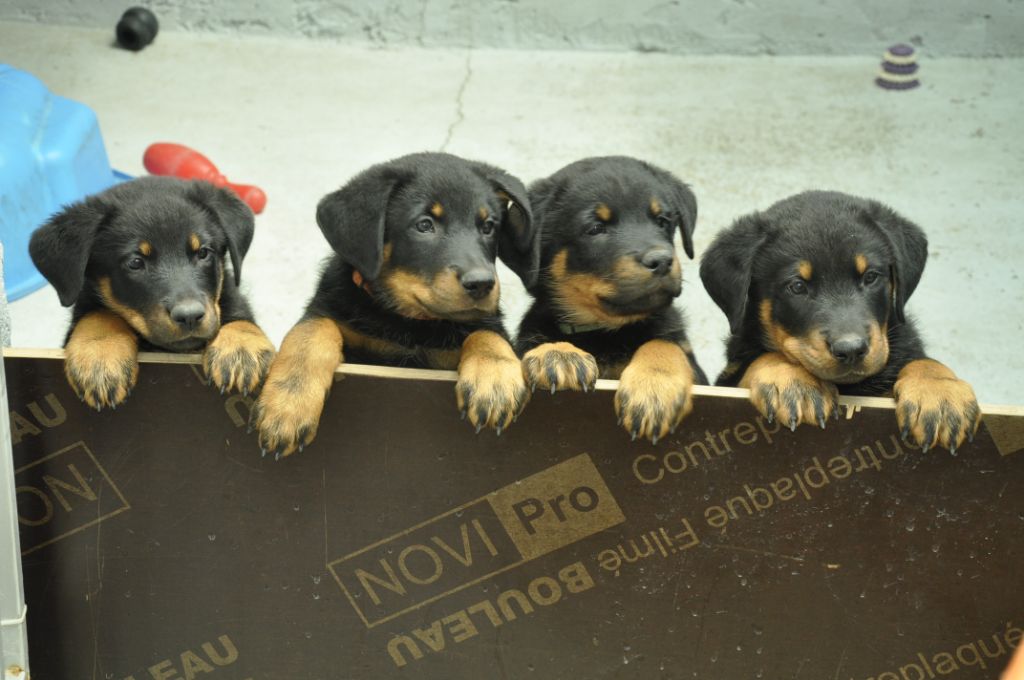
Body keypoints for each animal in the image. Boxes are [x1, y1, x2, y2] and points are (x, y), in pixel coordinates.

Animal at [29, 176, 276, 409]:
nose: (189, 316)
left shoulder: (229, 293)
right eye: (136, 262)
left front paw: (240, 350)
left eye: (203, 252)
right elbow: (98, 314)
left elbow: (239, 314)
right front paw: (100, 353)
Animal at [249, 151, 536, 458]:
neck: (409, 325)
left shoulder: (485, 322)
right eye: (424, 225)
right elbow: (310, 331)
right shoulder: (327, 309)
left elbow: (486, 333)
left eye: (488, 226)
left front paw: (495, 380)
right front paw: (288, 403)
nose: (482, 283)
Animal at [516, 155, 708, 444]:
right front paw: (558, 354)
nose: (662, 260)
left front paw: (653, 389)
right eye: (596, 228)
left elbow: (663, 343)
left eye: (663, 221)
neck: (606, 331)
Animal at [700, 191, 978, 454]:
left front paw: (940, 393)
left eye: (870, 277)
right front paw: (795, 381)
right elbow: (766, 358)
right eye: (797, 287)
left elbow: (924, 361)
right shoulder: (727, 378)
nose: (851, 349)